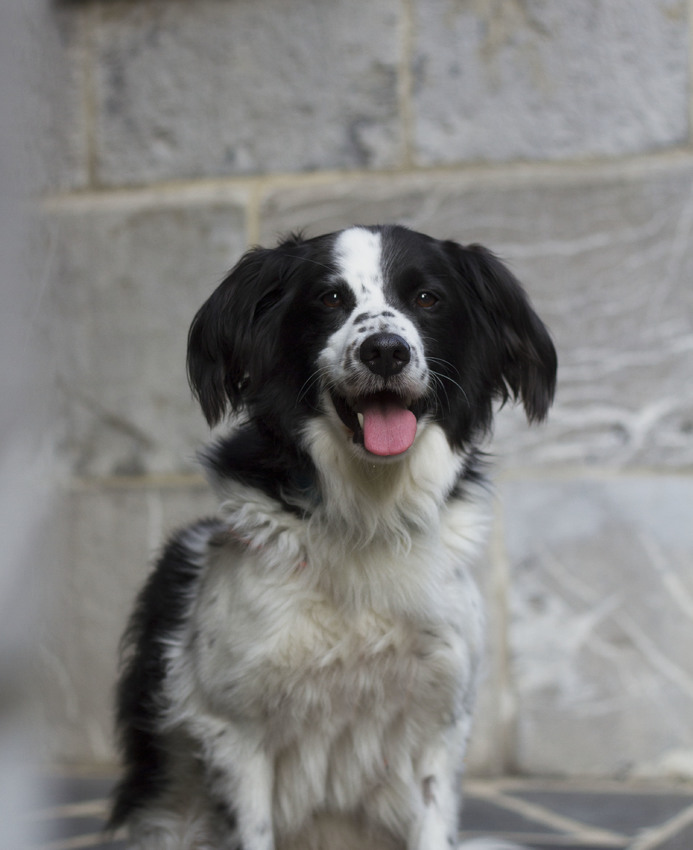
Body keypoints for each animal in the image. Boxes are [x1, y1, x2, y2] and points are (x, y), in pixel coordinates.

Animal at [109, 225, 556, 850]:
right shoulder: (232, 727)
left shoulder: (440, 721)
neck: (369, 515)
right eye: (330, 298)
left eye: (428, 299)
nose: (385, 350)